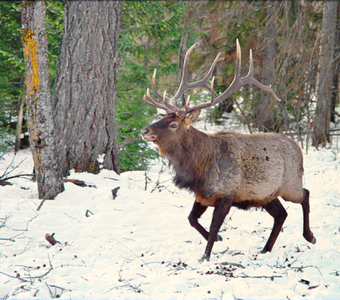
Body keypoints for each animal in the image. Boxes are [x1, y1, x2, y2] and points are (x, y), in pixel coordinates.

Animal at [141, 40, 316, 262]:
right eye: (162, 117)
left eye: (173, 124)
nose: (145, 130)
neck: (199, 170)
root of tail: (298, 147)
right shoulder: (203, 196)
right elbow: (191, 219)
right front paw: (217, 239)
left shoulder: (226, 195)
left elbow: (215, 224)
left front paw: (205, 256)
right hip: (266, 194)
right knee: (281, 214)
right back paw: (265, 249)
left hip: (290, 184)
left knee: (305, 194)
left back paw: (310, 236)